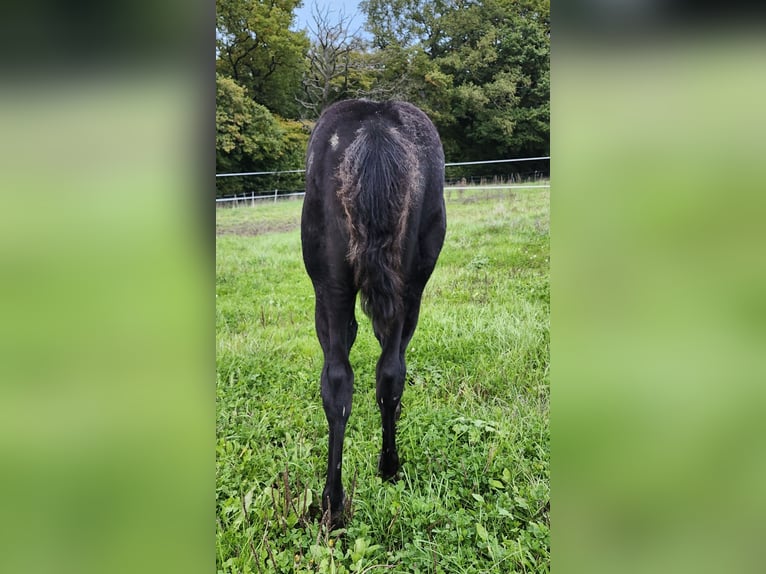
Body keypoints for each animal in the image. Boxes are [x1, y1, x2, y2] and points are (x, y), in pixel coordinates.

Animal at [301, 99, 446, 525]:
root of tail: (375, 125)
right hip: (406, 287)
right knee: (387, 372)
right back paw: (384, 471)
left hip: (331, 290)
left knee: (339, 379)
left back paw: (335, 502)